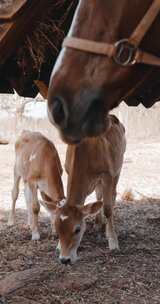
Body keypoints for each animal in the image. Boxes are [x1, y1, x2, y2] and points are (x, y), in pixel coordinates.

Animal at [52, 114, 126, 264]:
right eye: (57, 230)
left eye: (77, 229)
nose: (64, 259)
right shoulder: (69, 171)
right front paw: (58, 246)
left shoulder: (107, 174)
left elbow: (108, 209)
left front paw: (113, 241)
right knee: (99, 196)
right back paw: (97, 223)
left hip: (117, 170)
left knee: (112, 196)